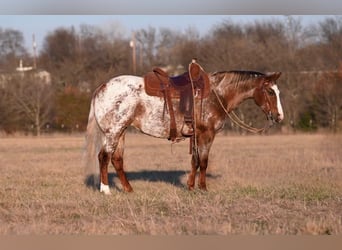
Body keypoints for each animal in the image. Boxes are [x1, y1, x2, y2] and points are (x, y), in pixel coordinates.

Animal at [85, 69, 284, 194]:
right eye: (270, 92)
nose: (279, 116)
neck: (216, 95)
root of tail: (102, 87)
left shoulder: (196, 136)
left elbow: (194, 160)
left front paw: (190, 187)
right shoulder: (206, 134)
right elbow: (203, 161)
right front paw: (203, 188)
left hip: (122, 131)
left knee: (117, 160)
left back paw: (129, 189)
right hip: (113, 132)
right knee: (104, 157)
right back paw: (106, 190)